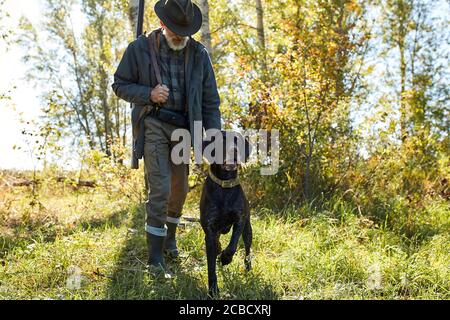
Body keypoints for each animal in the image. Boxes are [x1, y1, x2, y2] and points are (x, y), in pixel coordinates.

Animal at [199, 131, 251, 298]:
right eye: (221, 140)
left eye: (238, 140)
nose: (234, 150)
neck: (224, 186)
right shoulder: (209, 231)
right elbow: (211, 266)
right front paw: (213, 290)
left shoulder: (240, 220)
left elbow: (232, 245)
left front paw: (226, 258)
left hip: (248, 231)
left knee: (247, 250)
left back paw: (248, 267)